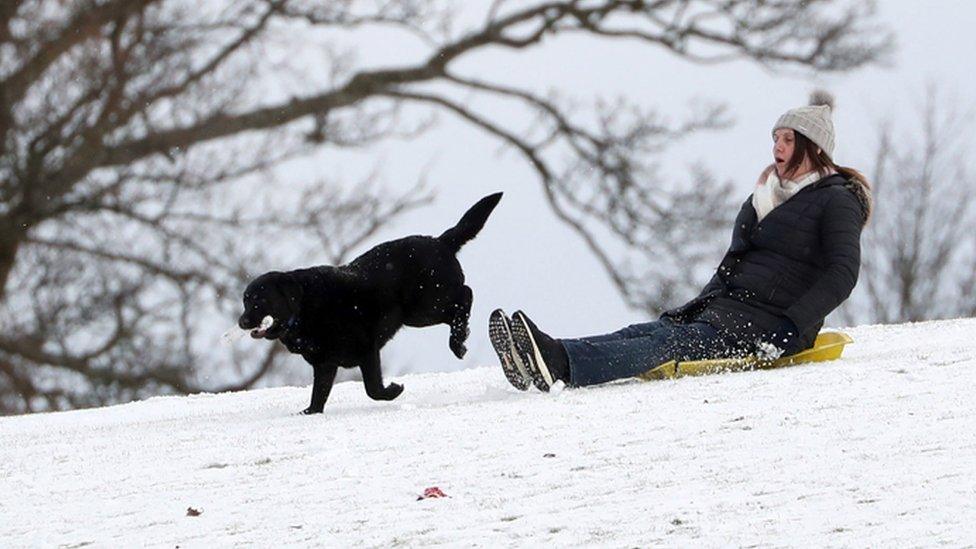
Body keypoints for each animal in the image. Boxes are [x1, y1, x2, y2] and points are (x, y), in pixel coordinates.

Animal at [237, 192, 504, 412]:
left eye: (260, 300)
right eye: (245, 300)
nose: (242, 322)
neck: (306, 307)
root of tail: (441, 241)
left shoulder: (367, 349)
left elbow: (373, 389)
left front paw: (394, 390)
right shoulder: (325, 364)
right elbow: (318, 396)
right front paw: (309, 413)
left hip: (427, 305)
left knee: (466, 295)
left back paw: (457, 342)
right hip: (419, 314)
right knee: (459, 305)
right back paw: (459, 338)